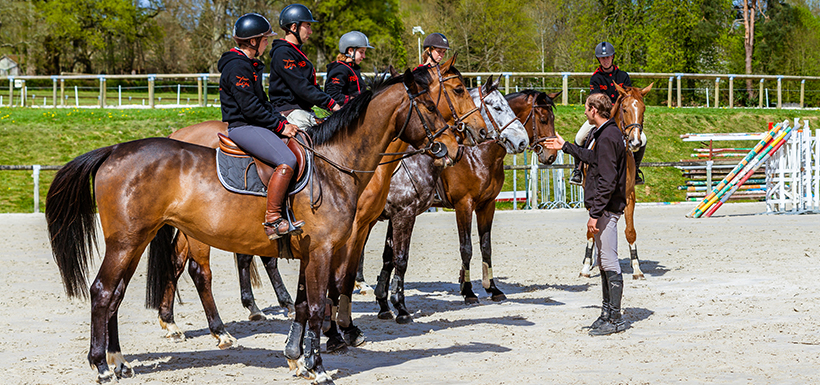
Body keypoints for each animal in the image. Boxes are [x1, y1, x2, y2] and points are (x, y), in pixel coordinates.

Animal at [46, 67, 462, 382]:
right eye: (431, 104)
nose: (455, 148)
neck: (333, 165)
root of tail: (115, 150)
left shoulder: (312, 251)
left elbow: (302, 305)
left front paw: (297, 358)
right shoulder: (325, 249)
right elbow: (317, 306)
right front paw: (319, 367)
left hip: (136, 240)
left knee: (116, 294)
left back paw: (119, 361)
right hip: (127, 241)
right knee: (104, 291)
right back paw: (102, 365)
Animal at [151, 58, 490, 350]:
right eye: (457, 90)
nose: (467, 139)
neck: (342, 160)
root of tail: (178, 133)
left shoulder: (365, 223)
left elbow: (360, 270)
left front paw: (348, 323)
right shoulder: (359, 227)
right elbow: (345, 276)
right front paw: (342, 328)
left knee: (182, 260)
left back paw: (173, 321)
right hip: (201, 230)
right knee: (200, 270)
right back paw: (221, 330)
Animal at [374, 88, 564, 320]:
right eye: (544, 119)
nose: (551, 155)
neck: (478, 154)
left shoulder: (487, 205)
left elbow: (486, 247)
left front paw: (493, 288)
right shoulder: (464, 204)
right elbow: (466, 248)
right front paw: (468, 291)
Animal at [580, 82, 656, 280]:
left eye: (643, 109)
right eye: (625, 108)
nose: (636, 142)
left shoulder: (629, 195)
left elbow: (630, 232)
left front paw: (637, 269)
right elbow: (591, 231)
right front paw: (585, 267)